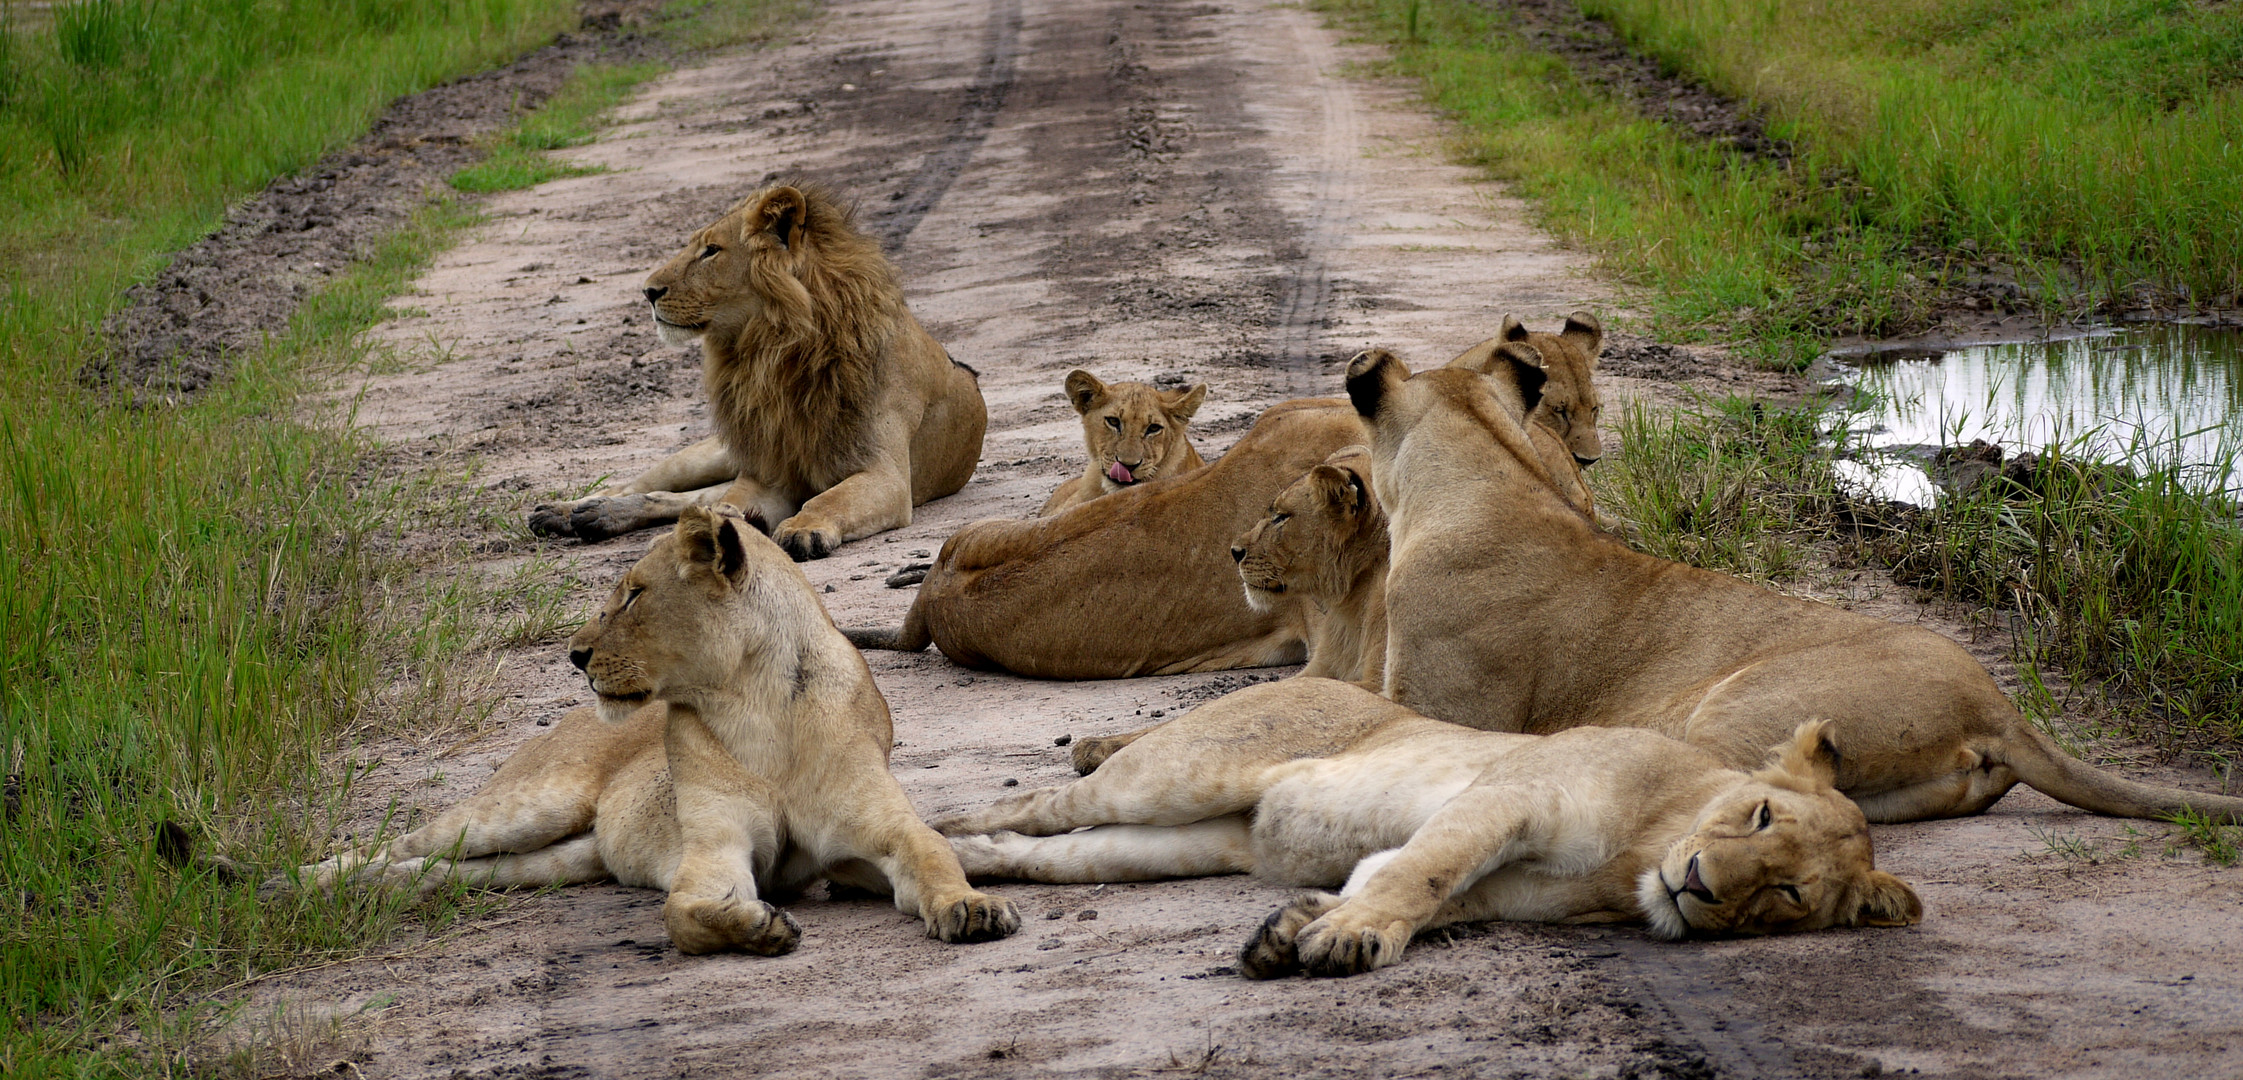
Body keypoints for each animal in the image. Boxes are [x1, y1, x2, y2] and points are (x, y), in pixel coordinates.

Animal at [289, 505, 1018, 952]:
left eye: (635, 594)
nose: (574, 655)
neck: (755, 703)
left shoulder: (873, 835)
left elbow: (931, 851)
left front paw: (973, 908)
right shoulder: (716, 845)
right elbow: (680, 913)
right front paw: (755, 927)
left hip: (555, 858)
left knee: (446, 868)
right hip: (533, 803)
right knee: (399, 844)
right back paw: (285, 886)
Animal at [529, 181, 986, 559]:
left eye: (711, 251)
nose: (648, 292)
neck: (773, 353)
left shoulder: (887, 476)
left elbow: (826, 499)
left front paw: (802, 529)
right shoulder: (766, 474)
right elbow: (727, 504)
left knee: (684, 498)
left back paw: (598, 517)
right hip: (710, 454)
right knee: (647, 485)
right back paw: (569, 511)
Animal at [937, 682, 1920, 978]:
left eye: (1785, 892)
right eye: (1759, 815)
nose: (1701, 886)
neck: (1647, 849)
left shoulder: (1508, 890)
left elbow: (1407, 885)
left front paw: (1297, 931)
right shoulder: (1507, 797)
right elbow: (1424, 872)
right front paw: (1348, 939)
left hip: (1183, 844)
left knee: (1057, 853)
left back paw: (975, 869)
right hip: (1175, 777)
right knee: (1038, 806)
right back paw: (943, 844)